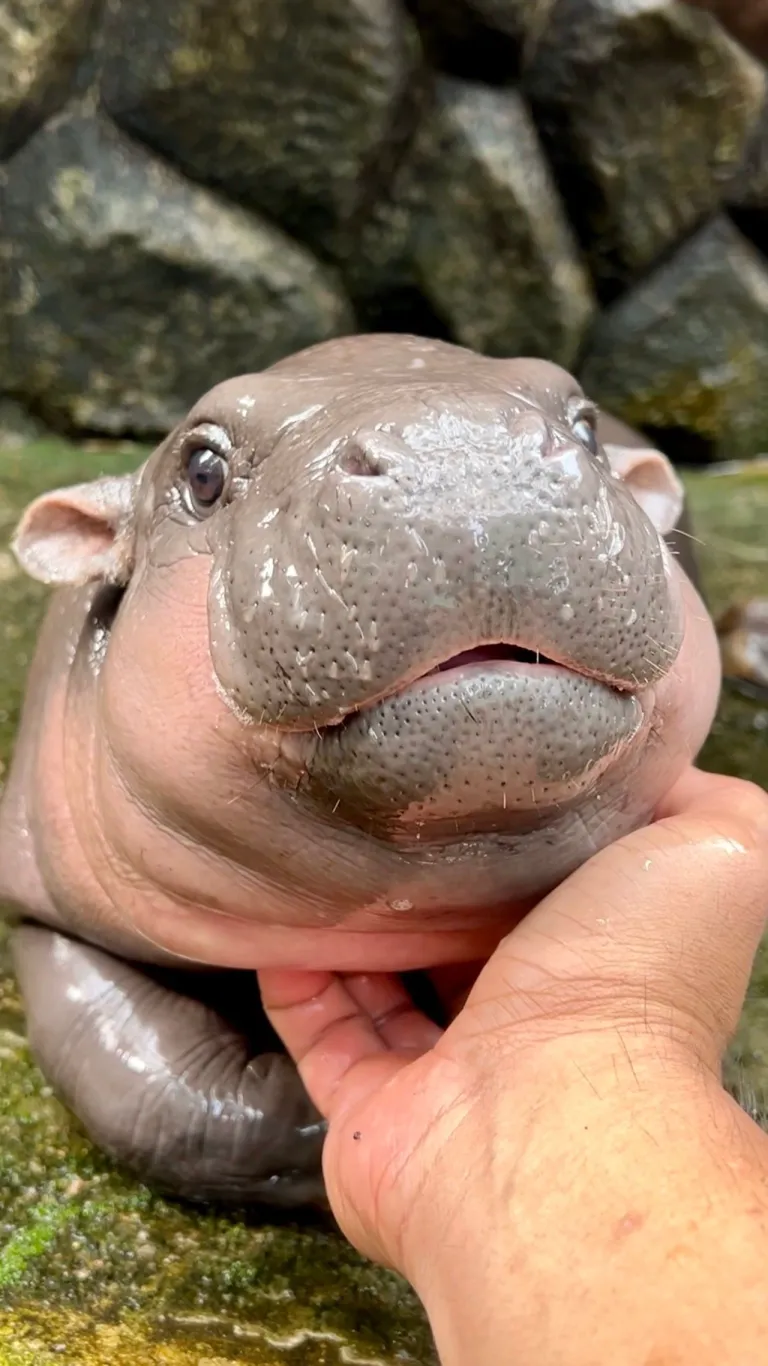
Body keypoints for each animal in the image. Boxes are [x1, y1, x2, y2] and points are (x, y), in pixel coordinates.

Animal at [0, 334, 721, 1208]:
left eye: (586, 427)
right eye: (201, 470)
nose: (459, 446)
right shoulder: (43, 902)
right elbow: (146, 1092)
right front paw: (313, 1119)